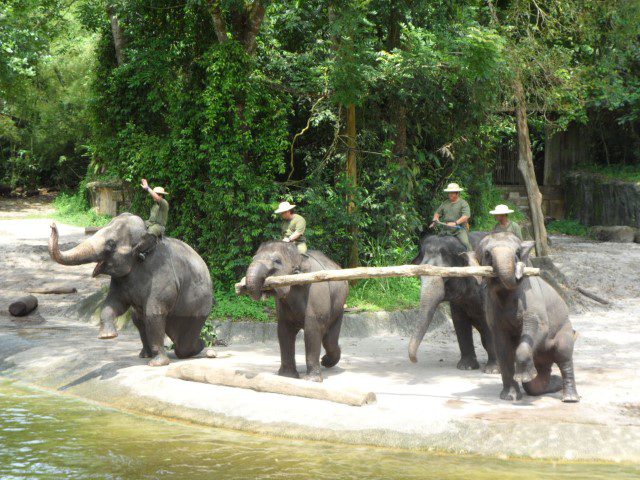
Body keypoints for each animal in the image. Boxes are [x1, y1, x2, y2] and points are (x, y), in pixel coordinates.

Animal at [48, 212, 212, 366]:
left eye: (111, 244)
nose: (52, 225)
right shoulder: (120, 280)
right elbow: (114, 304)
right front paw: (107, 336)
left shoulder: (162, 277)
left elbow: (154, 314)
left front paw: (157, 364)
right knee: (137, 318)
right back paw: (146, 355)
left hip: (197, 309)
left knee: (183, 344)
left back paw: (201, 348)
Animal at [241, 242, 350, 384]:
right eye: (253, 258)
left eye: (277, 261)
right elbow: (284, 331)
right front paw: (287, 376)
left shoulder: (315, 291)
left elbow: (312, 330)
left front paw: (312, 380)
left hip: (339, 307)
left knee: (329, 338)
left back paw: (326, 362)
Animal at [408, 231, 498, 374]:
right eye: (420, 276)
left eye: (446, 276)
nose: (415, 360)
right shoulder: (458, 303)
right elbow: (459, 322)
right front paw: (466, 367)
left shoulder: (486, 289)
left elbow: (489, 323)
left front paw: (492, 370)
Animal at [476, 232, 580, 402]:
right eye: (486, 254)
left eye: (518, 252)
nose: (519, 269)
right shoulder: (492, 312)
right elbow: (502, 347)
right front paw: (510, 397)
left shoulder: (532, 299)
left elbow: (539, 327)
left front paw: (523, 377)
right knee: (536, 384)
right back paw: (553, 381)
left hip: (565, 329)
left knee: (563, 354)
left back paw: (570, 398)